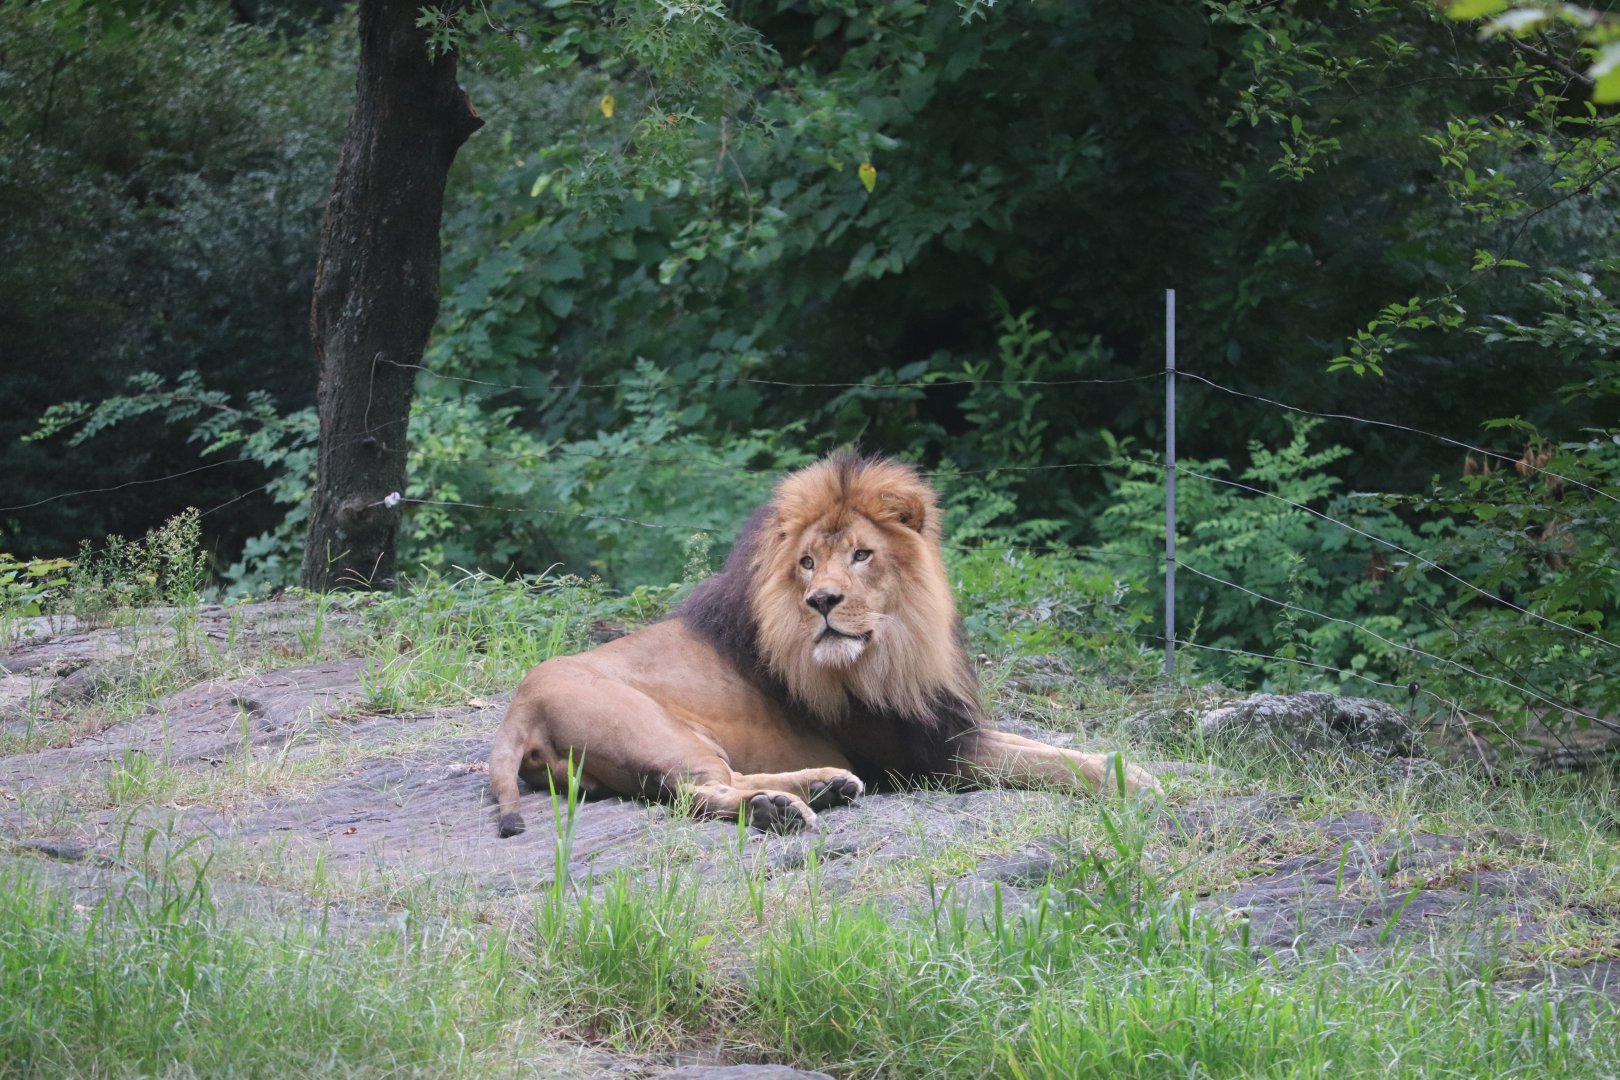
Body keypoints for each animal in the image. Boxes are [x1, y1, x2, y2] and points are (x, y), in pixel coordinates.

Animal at [488, 453, 1160, 837]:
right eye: (807, 563)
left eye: (862, 555)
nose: (822, 601)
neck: (898, 642)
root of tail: (520, 705)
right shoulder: (925, 756)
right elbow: (1046, 760)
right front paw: (1138, 783)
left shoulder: (943, 724)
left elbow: (1049, 748)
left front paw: (1131, 770)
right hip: (661, 733)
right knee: (698, 791)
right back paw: (781, 808)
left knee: (716, 783)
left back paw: (823, 788)